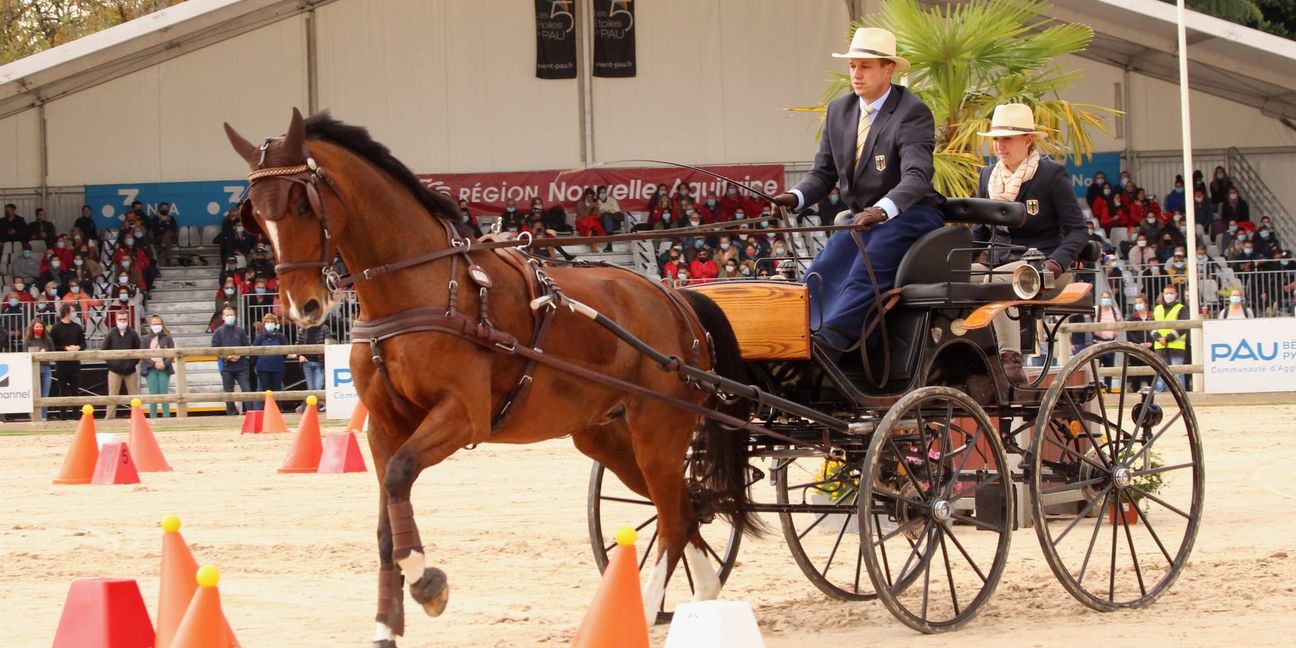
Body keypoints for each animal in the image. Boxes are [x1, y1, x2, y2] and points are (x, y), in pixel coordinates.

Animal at [220, 108, 751, 645]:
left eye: (301, 205)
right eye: (256, 218)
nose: (302, 306)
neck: (421, 287)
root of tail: (675, 297)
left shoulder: (462, 415)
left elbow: (400, 475)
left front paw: (427, 583)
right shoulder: (384, 427)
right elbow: (386, 521)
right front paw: (386, 624)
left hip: (657, 429)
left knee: (671, 520)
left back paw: (640, 611)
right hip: (608, 437)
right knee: (684, 508)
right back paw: (703, 601)